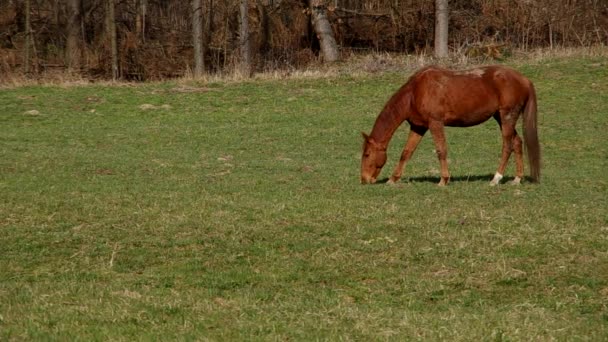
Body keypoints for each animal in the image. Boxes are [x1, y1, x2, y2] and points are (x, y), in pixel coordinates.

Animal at [358, 65, 540, 186]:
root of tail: (524, 80)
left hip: (507, 116)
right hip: (500, 118)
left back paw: (496, 178)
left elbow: (441, 151)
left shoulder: (435, 123)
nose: (365, 179)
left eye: (367, 154)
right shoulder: (418, 127)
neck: (415, 92)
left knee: (507, 145)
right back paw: (517, 178)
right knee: (517, 142)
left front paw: (444, 180)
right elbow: (406, 152)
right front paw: (393, 179)